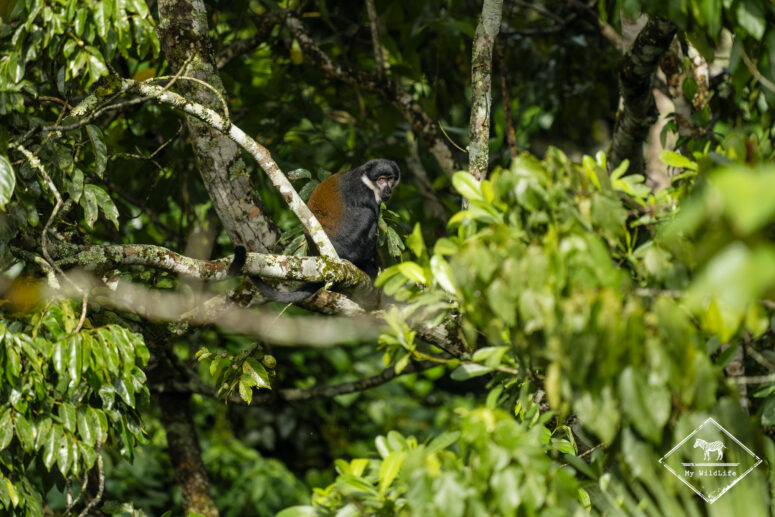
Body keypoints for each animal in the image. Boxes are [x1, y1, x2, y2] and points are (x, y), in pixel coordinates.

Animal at [229, 159, 400, 303]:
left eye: (390, 179)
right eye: (381, 179)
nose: (387, 189)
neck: (366, 181)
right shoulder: (367, 195)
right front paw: (372, 269)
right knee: (368, 217)